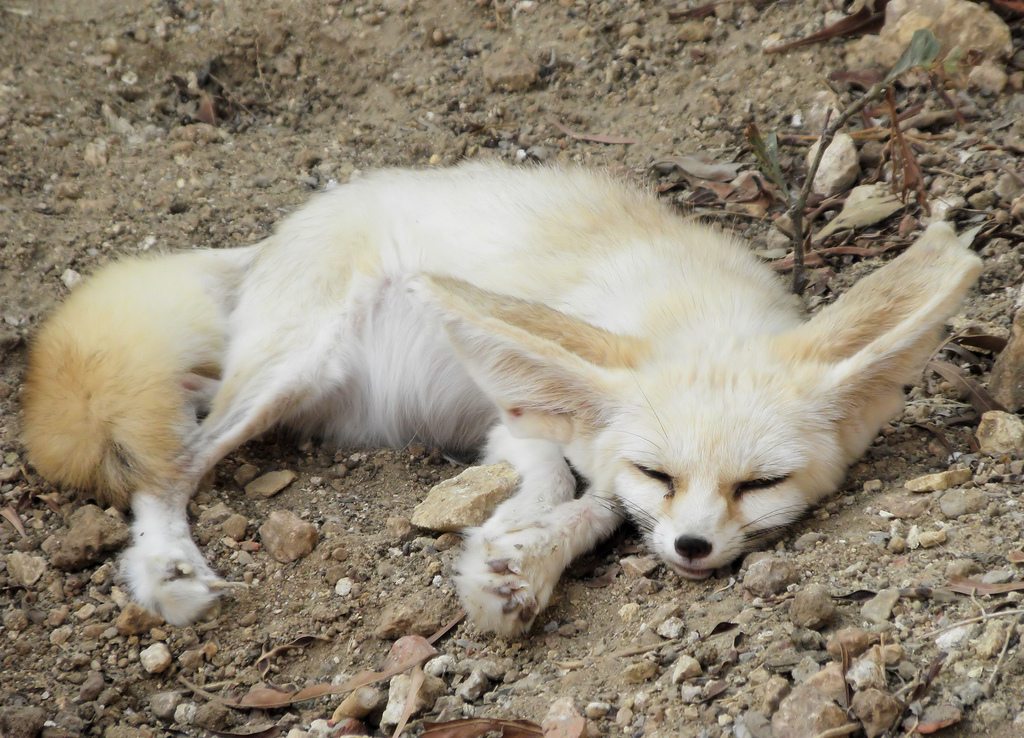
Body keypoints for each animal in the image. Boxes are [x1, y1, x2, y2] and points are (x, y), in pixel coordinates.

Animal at [22, 162, 983, 634]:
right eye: (661, 472)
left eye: (760, 485)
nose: (694, 548)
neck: (687, 304)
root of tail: (283, 231)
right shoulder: (519, 419)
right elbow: (569, 487)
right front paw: (515, 542)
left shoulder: (536, 429)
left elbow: (600, 504)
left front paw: (523, 557)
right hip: (294, 365)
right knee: (168, 468)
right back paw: (166, 568)